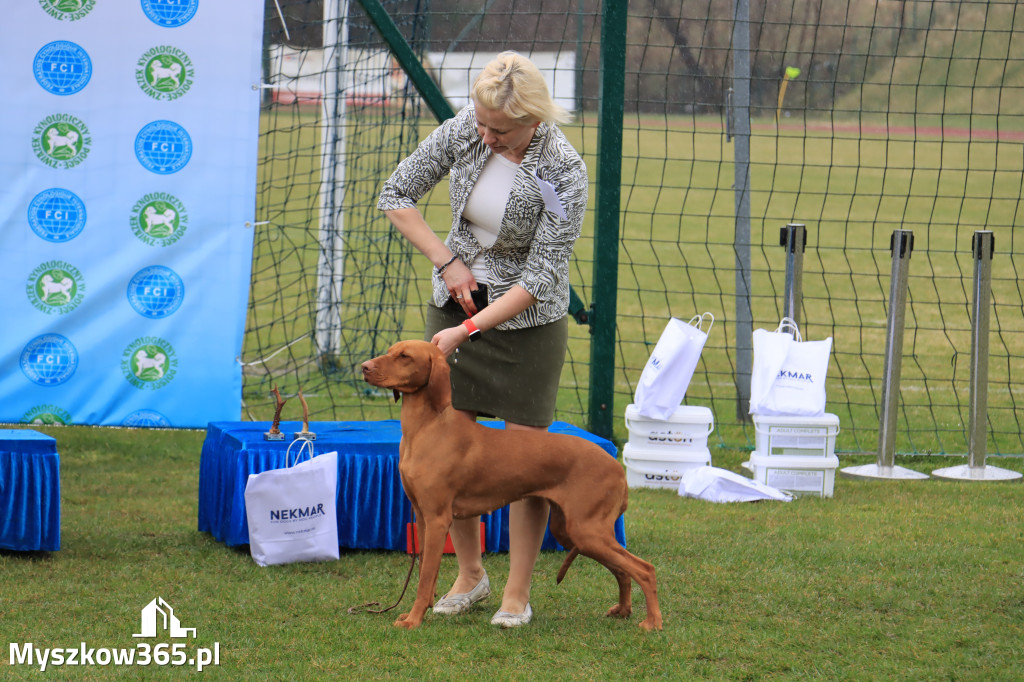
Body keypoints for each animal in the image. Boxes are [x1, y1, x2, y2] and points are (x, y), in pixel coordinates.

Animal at [362, 337, 663, 630]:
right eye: (390, 350)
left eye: (405, 356)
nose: (364, 367)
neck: (427, 427)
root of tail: (616, 466)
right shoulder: (422, 517)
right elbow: (425, 570)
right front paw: (417, 612)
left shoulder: (437, 519)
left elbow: (425, 578)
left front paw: (413, 620)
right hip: (574, 532)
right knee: (623, 569)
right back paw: (623, 610)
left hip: (586, 531)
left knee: (645, 569)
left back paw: (652, 622)